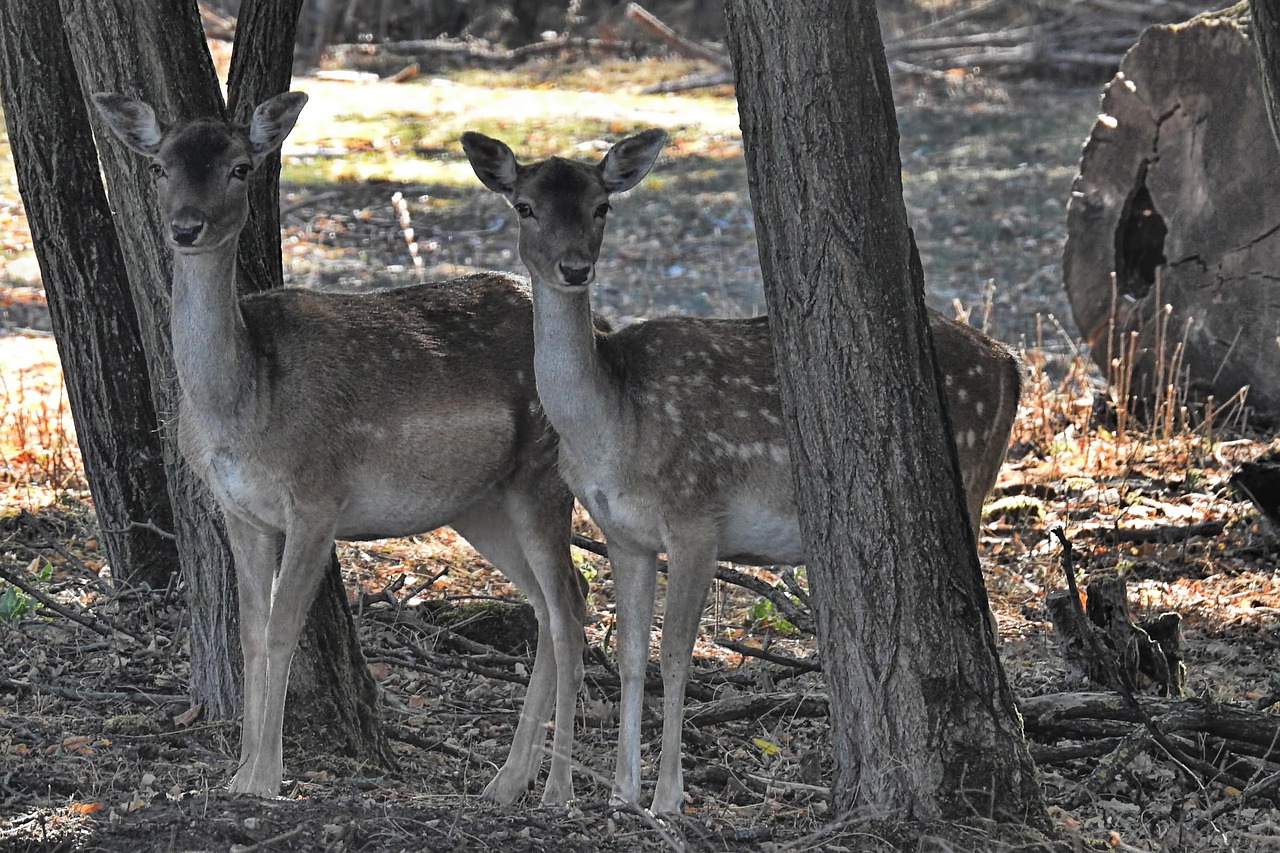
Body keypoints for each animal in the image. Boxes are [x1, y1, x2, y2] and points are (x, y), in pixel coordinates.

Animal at [92, 92, 589, 806]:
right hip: (481, 505)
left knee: (569, 599)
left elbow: (281, 630)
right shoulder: (239, 510)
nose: (187, 227)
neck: (240, 408)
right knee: (552, 602)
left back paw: (548, 788)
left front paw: (264, 779)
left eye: (240, 167)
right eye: (160, 166)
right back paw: (505, 782)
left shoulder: (317, 496)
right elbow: (248, 634)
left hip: (542, 477)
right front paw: (239, 772)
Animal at [462, 129, 1024, 814]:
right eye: (525, 206)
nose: (574, 267)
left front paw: (668, 799)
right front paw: (622, 793)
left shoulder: (696, 517)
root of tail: (1011, 363)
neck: (612, 429)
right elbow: (630, 655)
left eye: (601, 206)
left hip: (968, 480)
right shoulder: (624, 535)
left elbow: (677, 655)